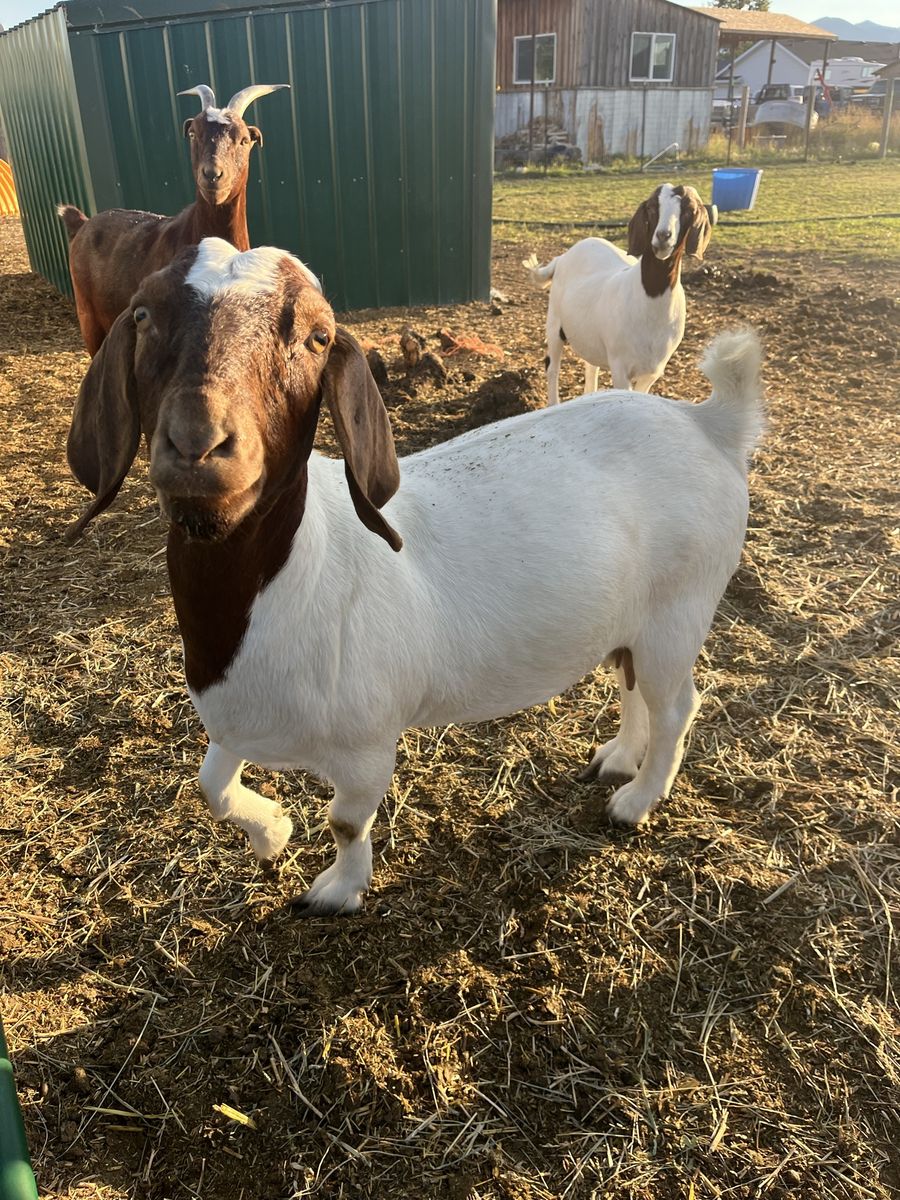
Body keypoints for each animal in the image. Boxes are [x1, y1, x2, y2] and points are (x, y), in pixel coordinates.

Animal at [67, 238, 762, 916]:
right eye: (143, 315)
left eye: (318, 337)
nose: (198, 444)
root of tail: (710, 423)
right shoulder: (238, 716)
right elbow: (211, 783)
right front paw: (272, 832)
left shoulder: (367, 746)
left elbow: (346, 822)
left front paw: (336, 891)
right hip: (636, 619)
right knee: (633, 682)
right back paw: (616, 760)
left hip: (680, 608)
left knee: (676, 705)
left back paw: (636, 800)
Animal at [523, 183, 714, 402]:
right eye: (651, 208)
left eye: (688, 211)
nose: (663, 236)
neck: (649, 297)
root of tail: (561, 258)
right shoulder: (620, 365)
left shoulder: (651, 372)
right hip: (554, 322)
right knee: (552, 366)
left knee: (591, 368)